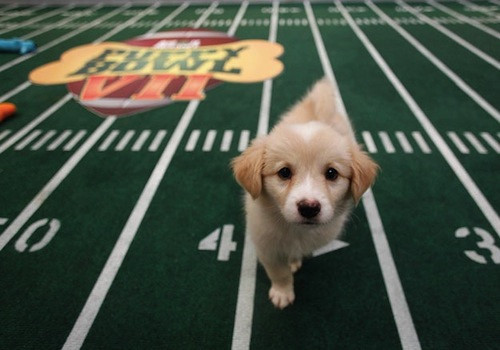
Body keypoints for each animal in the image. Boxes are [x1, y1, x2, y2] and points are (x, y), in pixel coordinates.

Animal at [232, 77, 376, 308]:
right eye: (284, 172)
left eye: (332, 173)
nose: (309, 207)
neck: (295, 231)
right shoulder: (267, 248)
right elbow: (279, 273)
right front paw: (282, 293)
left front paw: (292, 263)